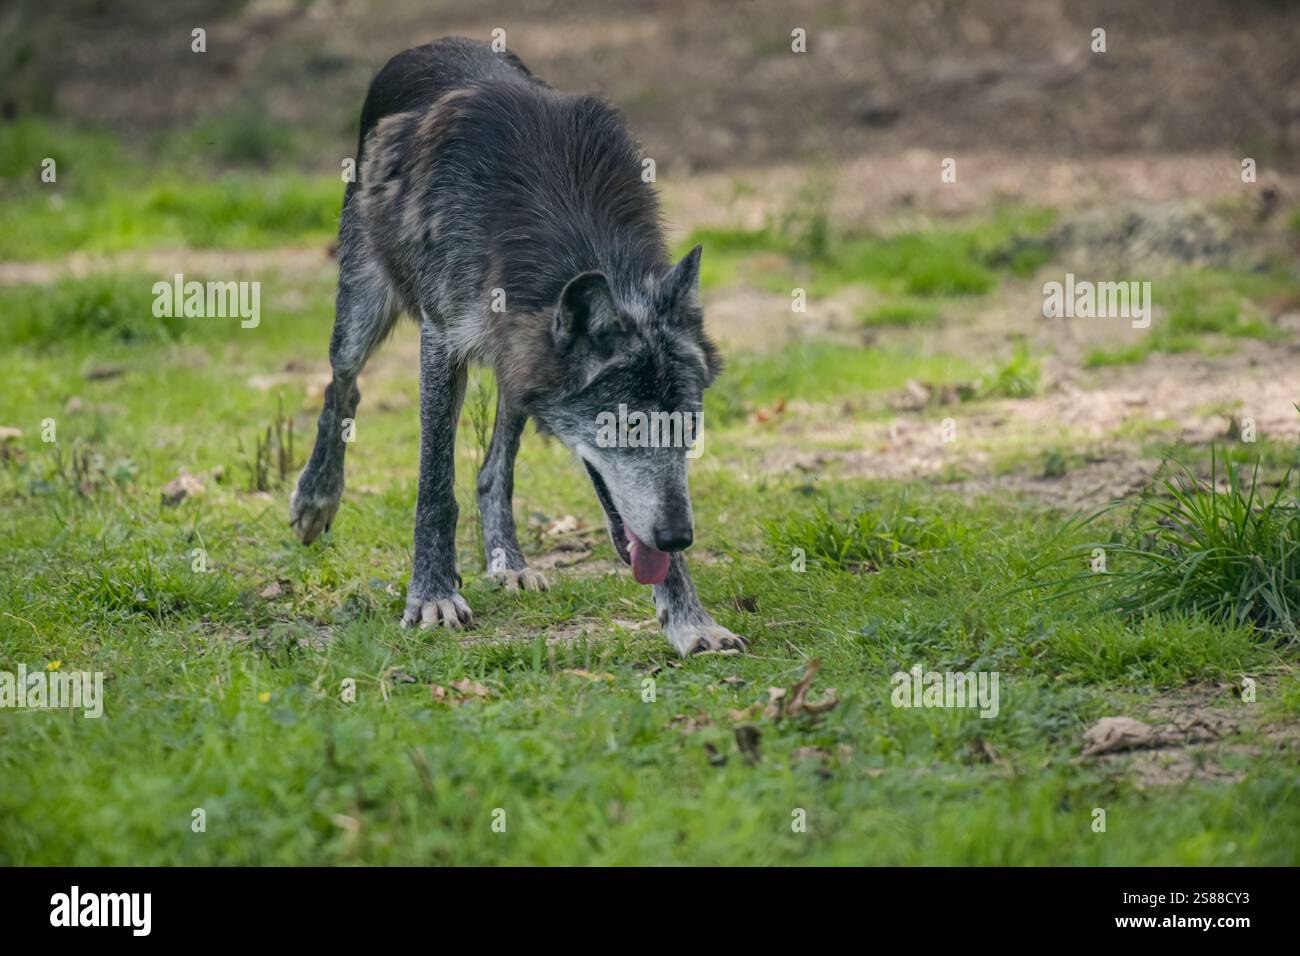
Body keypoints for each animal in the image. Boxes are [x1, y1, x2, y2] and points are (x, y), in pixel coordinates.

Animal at [289, 38, 746, 656]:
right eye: (625, 426)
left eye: (689, 426)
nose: (679, 536)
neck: (567, 225)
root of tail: (432, 43)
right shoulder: (441, 339)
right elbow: (434, 484)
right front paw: (432, 594)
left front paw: (689, 620)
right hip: (362, 310)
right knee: (344, 385)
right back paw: (316, 500)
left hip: (513, 368)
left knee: (492, 469)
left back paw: (510, 563)